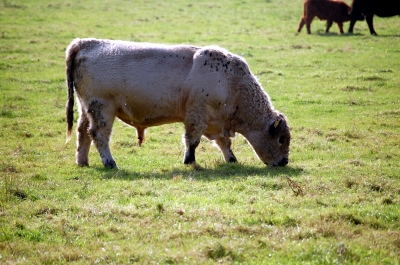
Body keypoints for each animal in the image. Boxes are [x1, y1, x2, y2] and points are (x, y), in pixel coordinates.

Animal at [65, 38, 290, 168]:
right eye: (281, 139)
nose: (284, 161)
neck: (231, 81)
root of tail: (85, 43)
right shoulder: (197, 116)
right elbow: (192, 140)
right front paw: (189, 160)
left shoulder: (216, 121)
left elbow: (224, 142)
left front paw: (232, 159)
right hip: (102, 109)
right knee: (98, 134)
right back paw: (110, 163)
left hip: (86, 110)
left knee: (83, 132)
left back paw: (82, 162)